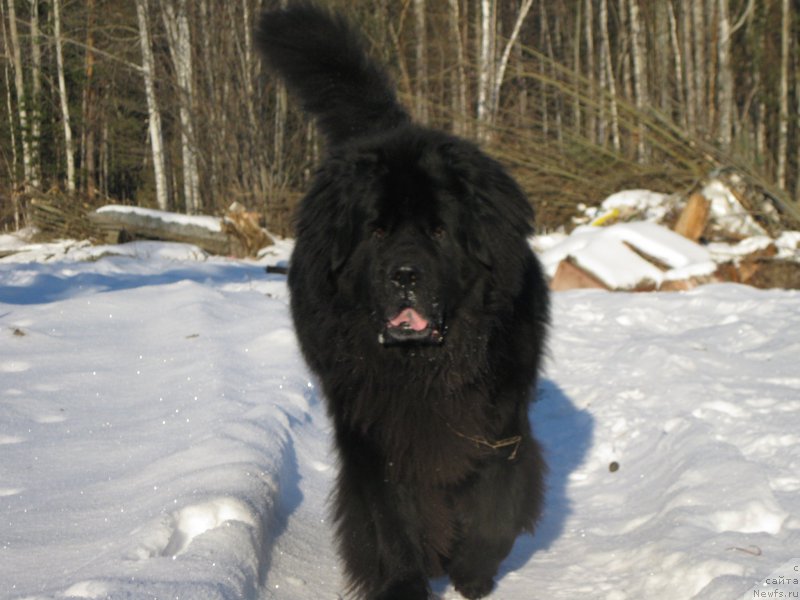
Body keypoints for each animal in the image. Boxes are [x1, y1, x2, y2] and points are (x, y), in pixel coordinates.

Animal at [256, 5, 552, 600]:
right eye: (376, 231)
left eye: (438, 230)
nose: (405, 275)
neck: (424, 366)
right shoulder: (373, 431)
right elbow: (392, 519)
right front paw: (405, 583)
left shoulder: (500, 419)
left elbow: (496, 507)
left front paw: (472, 570)